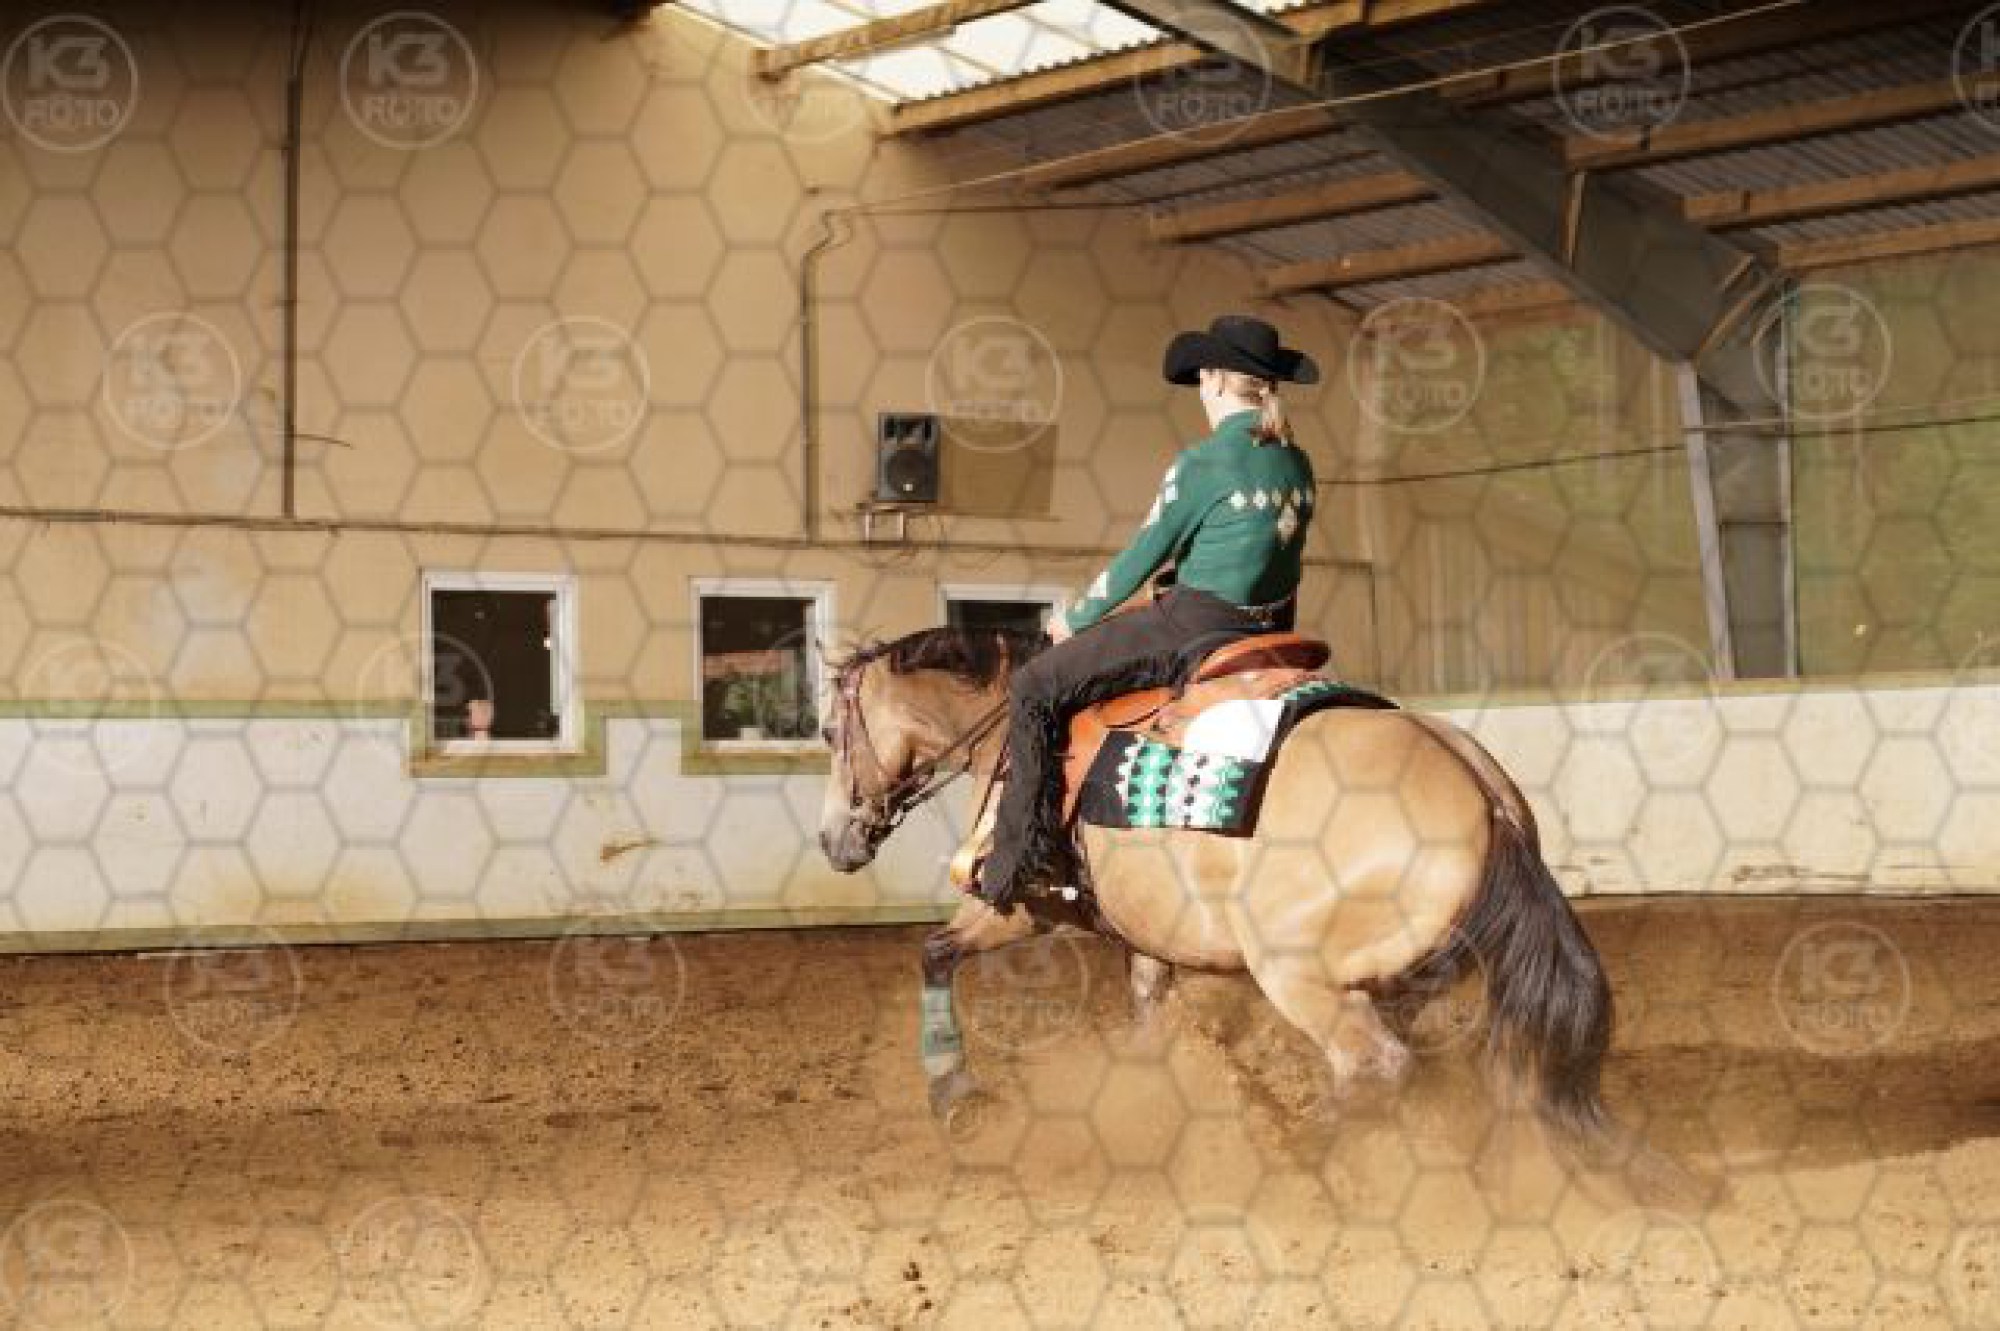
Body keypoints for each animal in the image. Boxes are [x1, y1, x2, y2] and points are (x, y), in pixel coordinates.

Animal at [817, 625, 1615, 1150]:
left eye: (829, 731)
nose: (833, 839)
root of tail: (1479, 788)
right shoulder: (1146, 937)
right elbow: (1145, 1012)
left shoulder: (1018, 906)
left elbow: (935, 952)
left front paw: (952, 1091)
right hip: (1405, 977)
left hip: (1295, 973)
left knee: (1373, 1067)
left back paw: (1292, 1145)